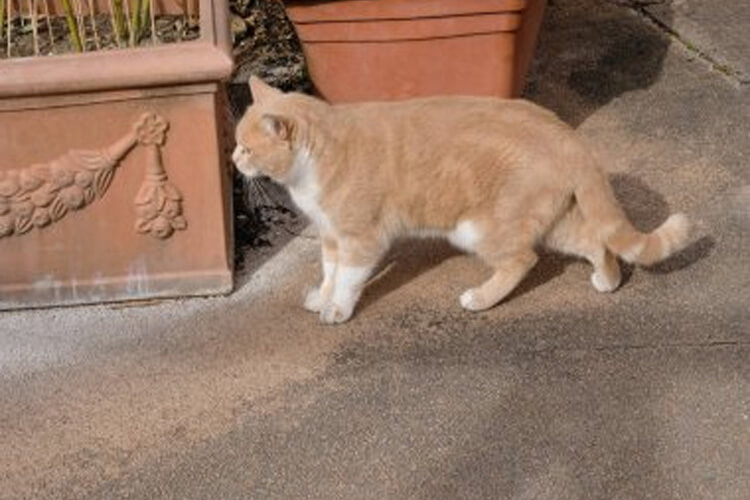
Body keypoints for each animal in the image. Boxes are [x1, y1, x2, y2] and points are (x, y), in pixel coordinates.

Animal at [235, 75, 692, 322]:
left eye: (247, 148)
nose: (232, 160)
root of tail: (567, 136)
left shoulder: (360, 240)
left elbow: (347, 279)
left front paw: (336, 310)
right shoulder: (331, 236)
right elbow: (330, 273)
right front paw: (322, 297)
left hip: (479, 229)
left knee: (523, 260)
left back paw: (480, 299)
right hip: (551, 221)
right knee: (595, 242)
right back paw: (607, 282)